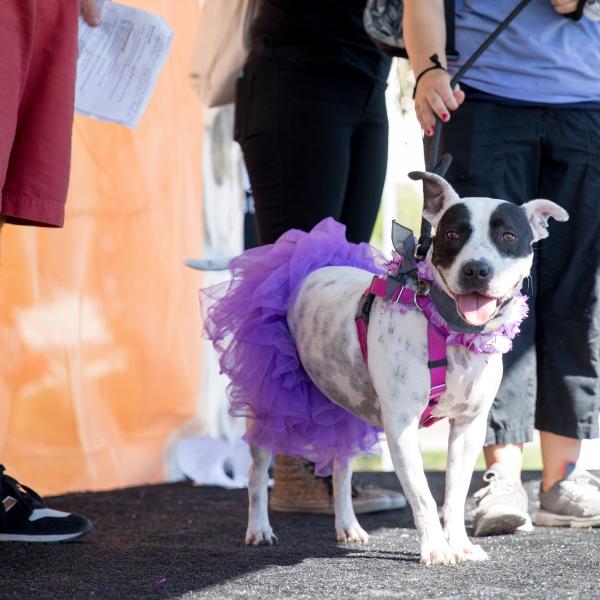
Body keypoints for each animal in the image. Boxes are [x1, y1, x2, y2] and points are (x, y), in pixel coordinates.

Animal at [242, 170, 568, 565]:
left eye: (508, 236)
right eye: (452, 234)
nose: (476, 269)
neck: (448, 329)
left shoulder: (468, 426)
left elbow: (455, 494)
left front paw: (460, 544)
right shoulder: (401, 425)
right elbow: (424, 495)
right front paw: (436, 548)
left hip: (344, 405)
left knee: (341, 468)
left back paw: (348, 525)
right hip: (266, 404)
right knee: (257, 472)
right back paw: (259, 528)